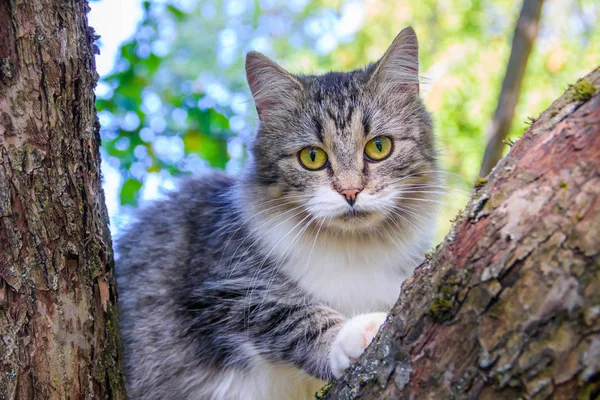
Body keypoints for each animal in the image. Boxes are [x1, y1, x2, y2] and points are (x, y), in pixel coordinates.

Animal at [118, 26, 440, 398]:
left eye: (379, 147)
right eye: (312, 157)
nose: (350, 192)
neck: (353, 250)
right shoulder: (224, 289)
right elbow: (299, 318)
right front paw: (355, 333)